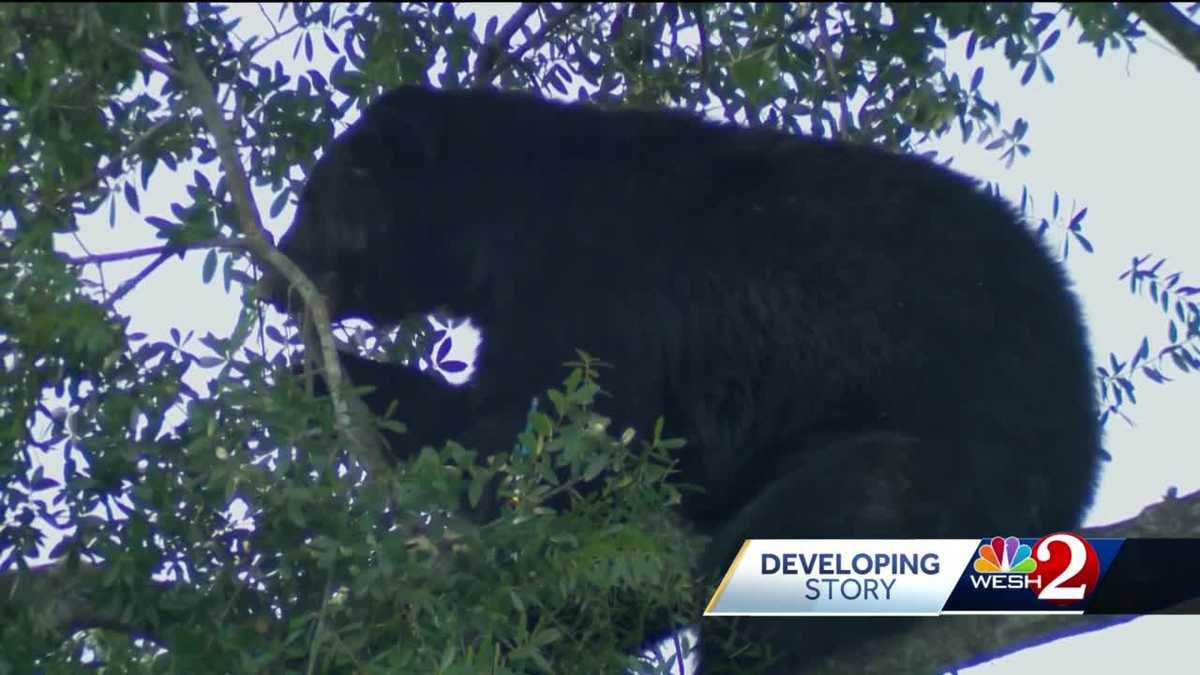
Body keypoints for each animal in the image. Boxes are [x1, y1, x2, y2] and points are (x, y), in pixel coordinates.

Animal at [264, 85, 1102, 673]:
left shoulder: (592, 271)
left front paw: (333, 376)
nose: (277, 277)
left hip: (947, 459)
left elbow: (556, 442)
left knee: (790, 553)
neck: (496, 218)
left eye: (308, 199)